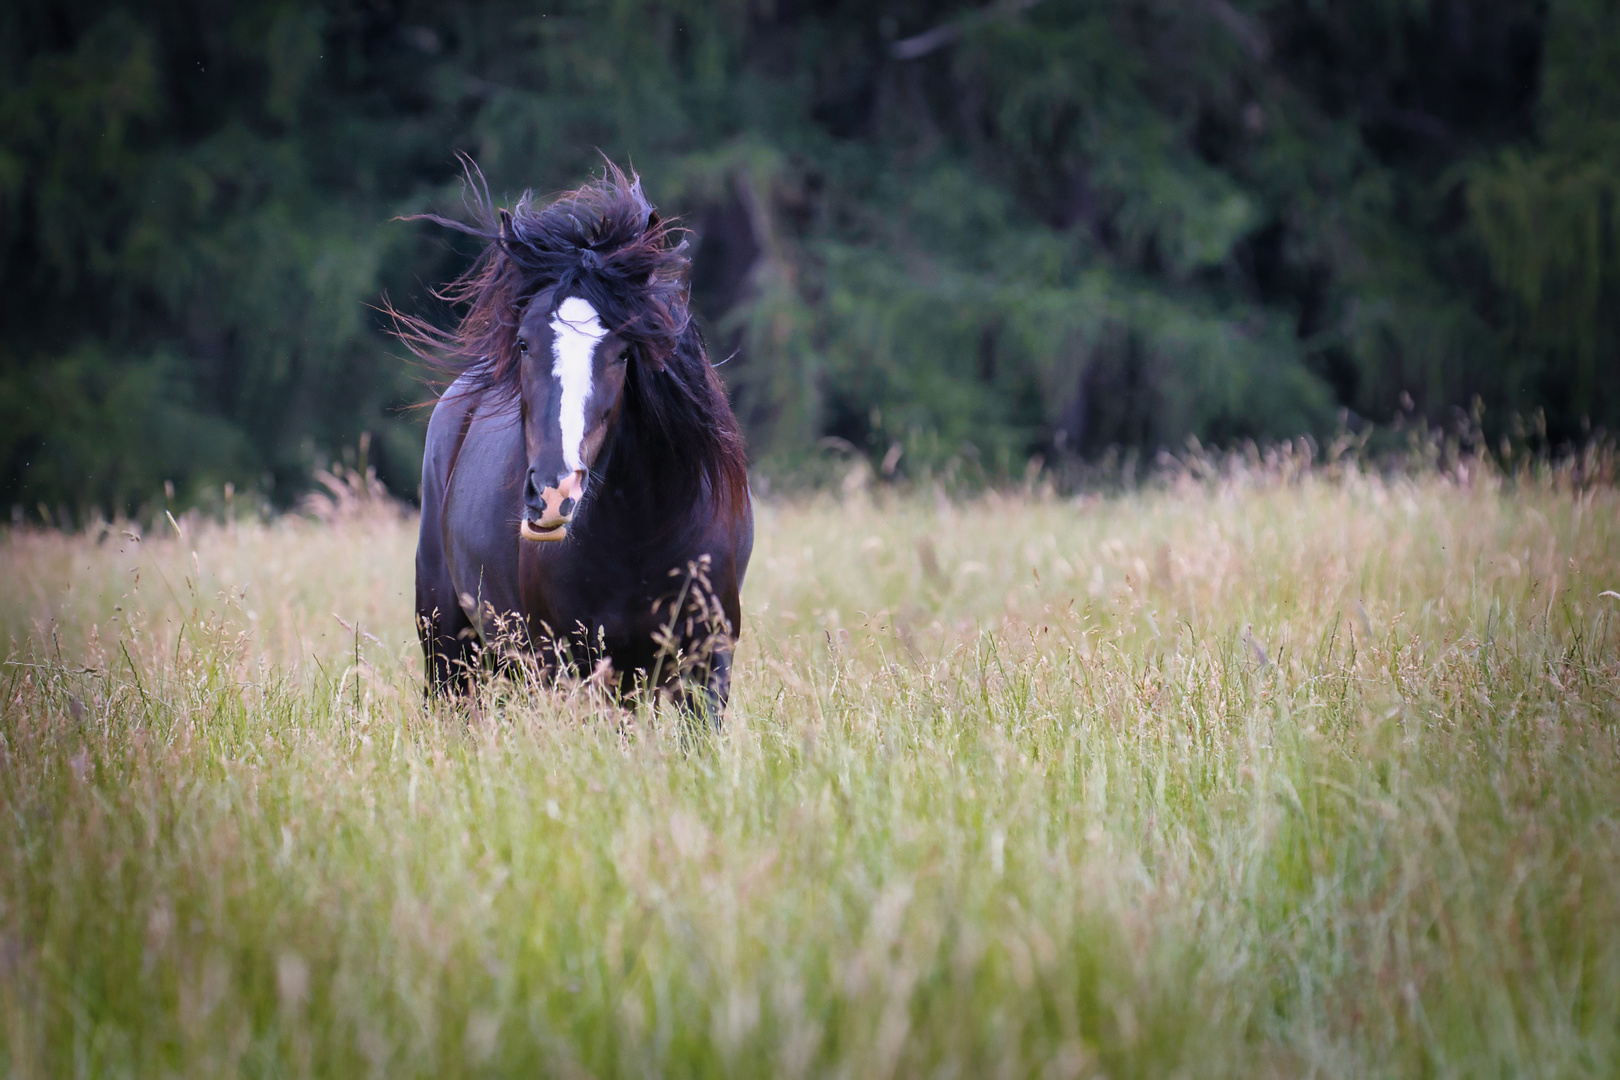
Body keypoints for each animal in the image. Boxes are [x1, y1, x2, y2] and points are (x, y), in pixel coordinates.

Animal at [405, 160, 758, 722]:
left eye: (623, 350)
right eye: (524, 343)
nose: (553, 496)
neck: (644, 533)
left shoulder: (706, 664)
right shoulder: (572, 666)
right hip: (450, 647)